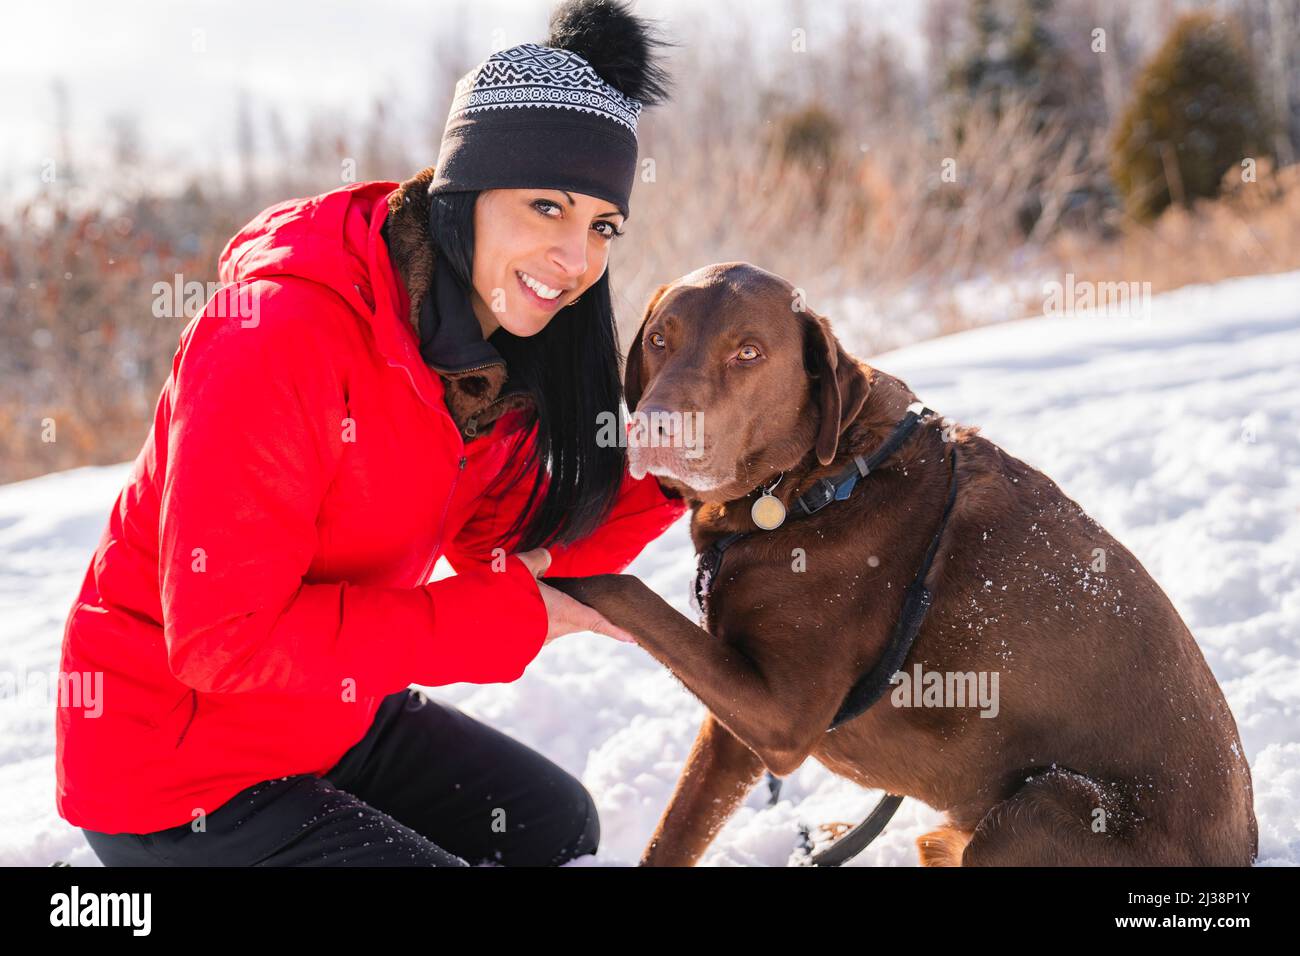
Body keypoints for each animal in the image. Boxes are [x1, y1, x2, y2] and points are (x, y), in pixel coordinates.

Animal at [540, 261, 1258, 868]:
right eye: (661, 339)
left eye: (748, 352)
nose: (654, 428)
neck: (817, 483)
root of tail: (1245, 849)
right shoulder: (732, 726)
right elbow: (675, 831)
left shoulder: (782, 716)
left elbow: (629, 591)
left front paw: (542, 562)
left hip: (1048, 802)